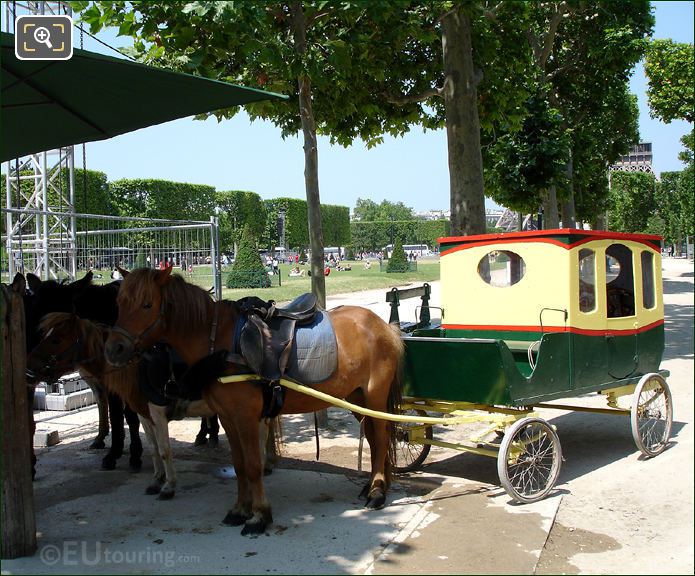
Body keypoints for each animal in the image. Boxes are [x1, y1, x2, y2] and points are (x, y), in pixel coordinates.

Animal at [105, 266, 406, 536]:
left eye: (147, 304)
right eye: (119, 302)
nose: (114, 348)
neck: (221, 343)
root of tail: (384, 326)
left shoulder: (246, 417)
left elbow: (252, 466)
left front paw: (259, 516)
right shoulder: (227, 417)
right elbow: (239, 466)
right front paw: (240, 509)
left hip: (374, 397)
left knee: (380, 439)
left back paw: (377, 492)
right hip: (356, 397)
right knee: (373, 438)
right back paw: (374, 485)